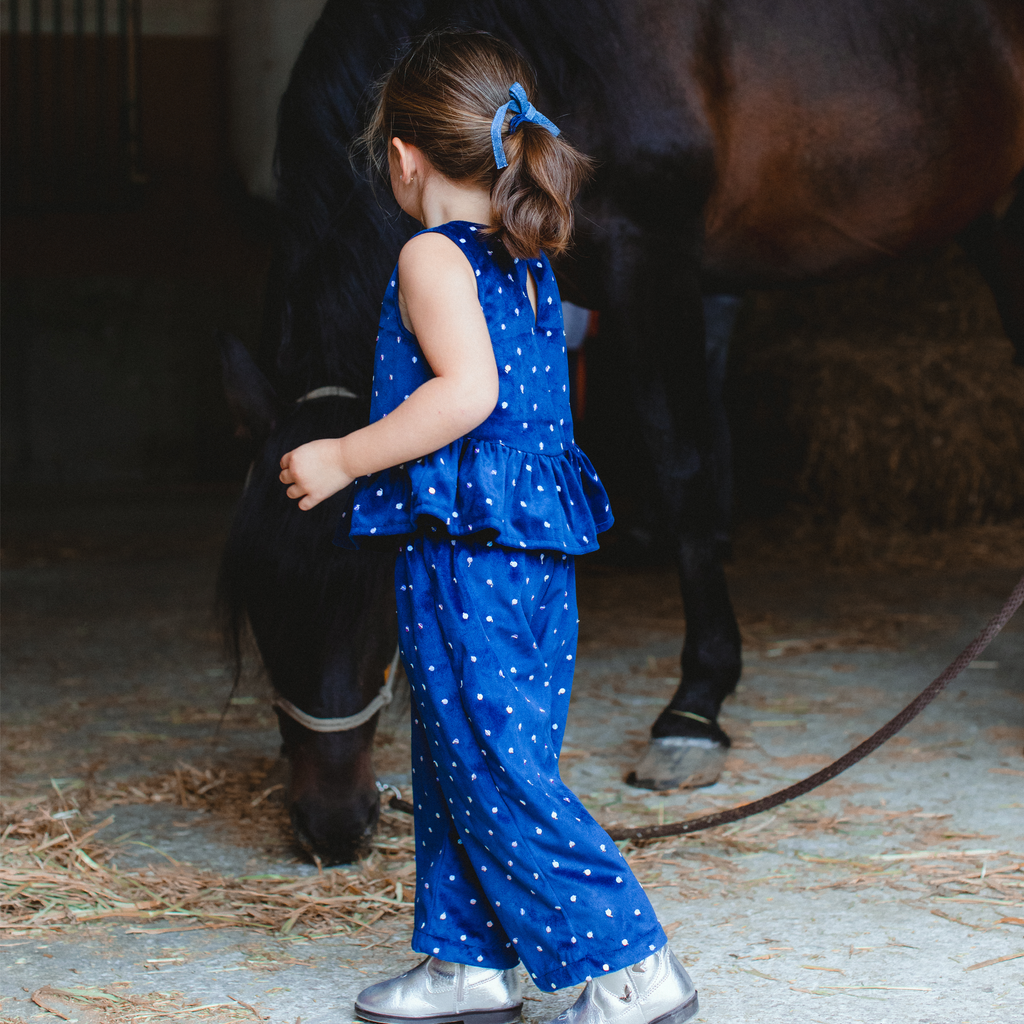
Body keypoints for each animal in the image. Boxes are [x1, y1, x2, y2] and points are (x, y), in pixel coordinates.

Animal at [222, 0, 1024, 864]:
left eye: (376, 596)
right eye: (257, 592)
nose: (333, 825)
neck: (562, 51)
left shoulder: (653, 260)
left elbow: (683, 465)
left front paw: (695, 708)